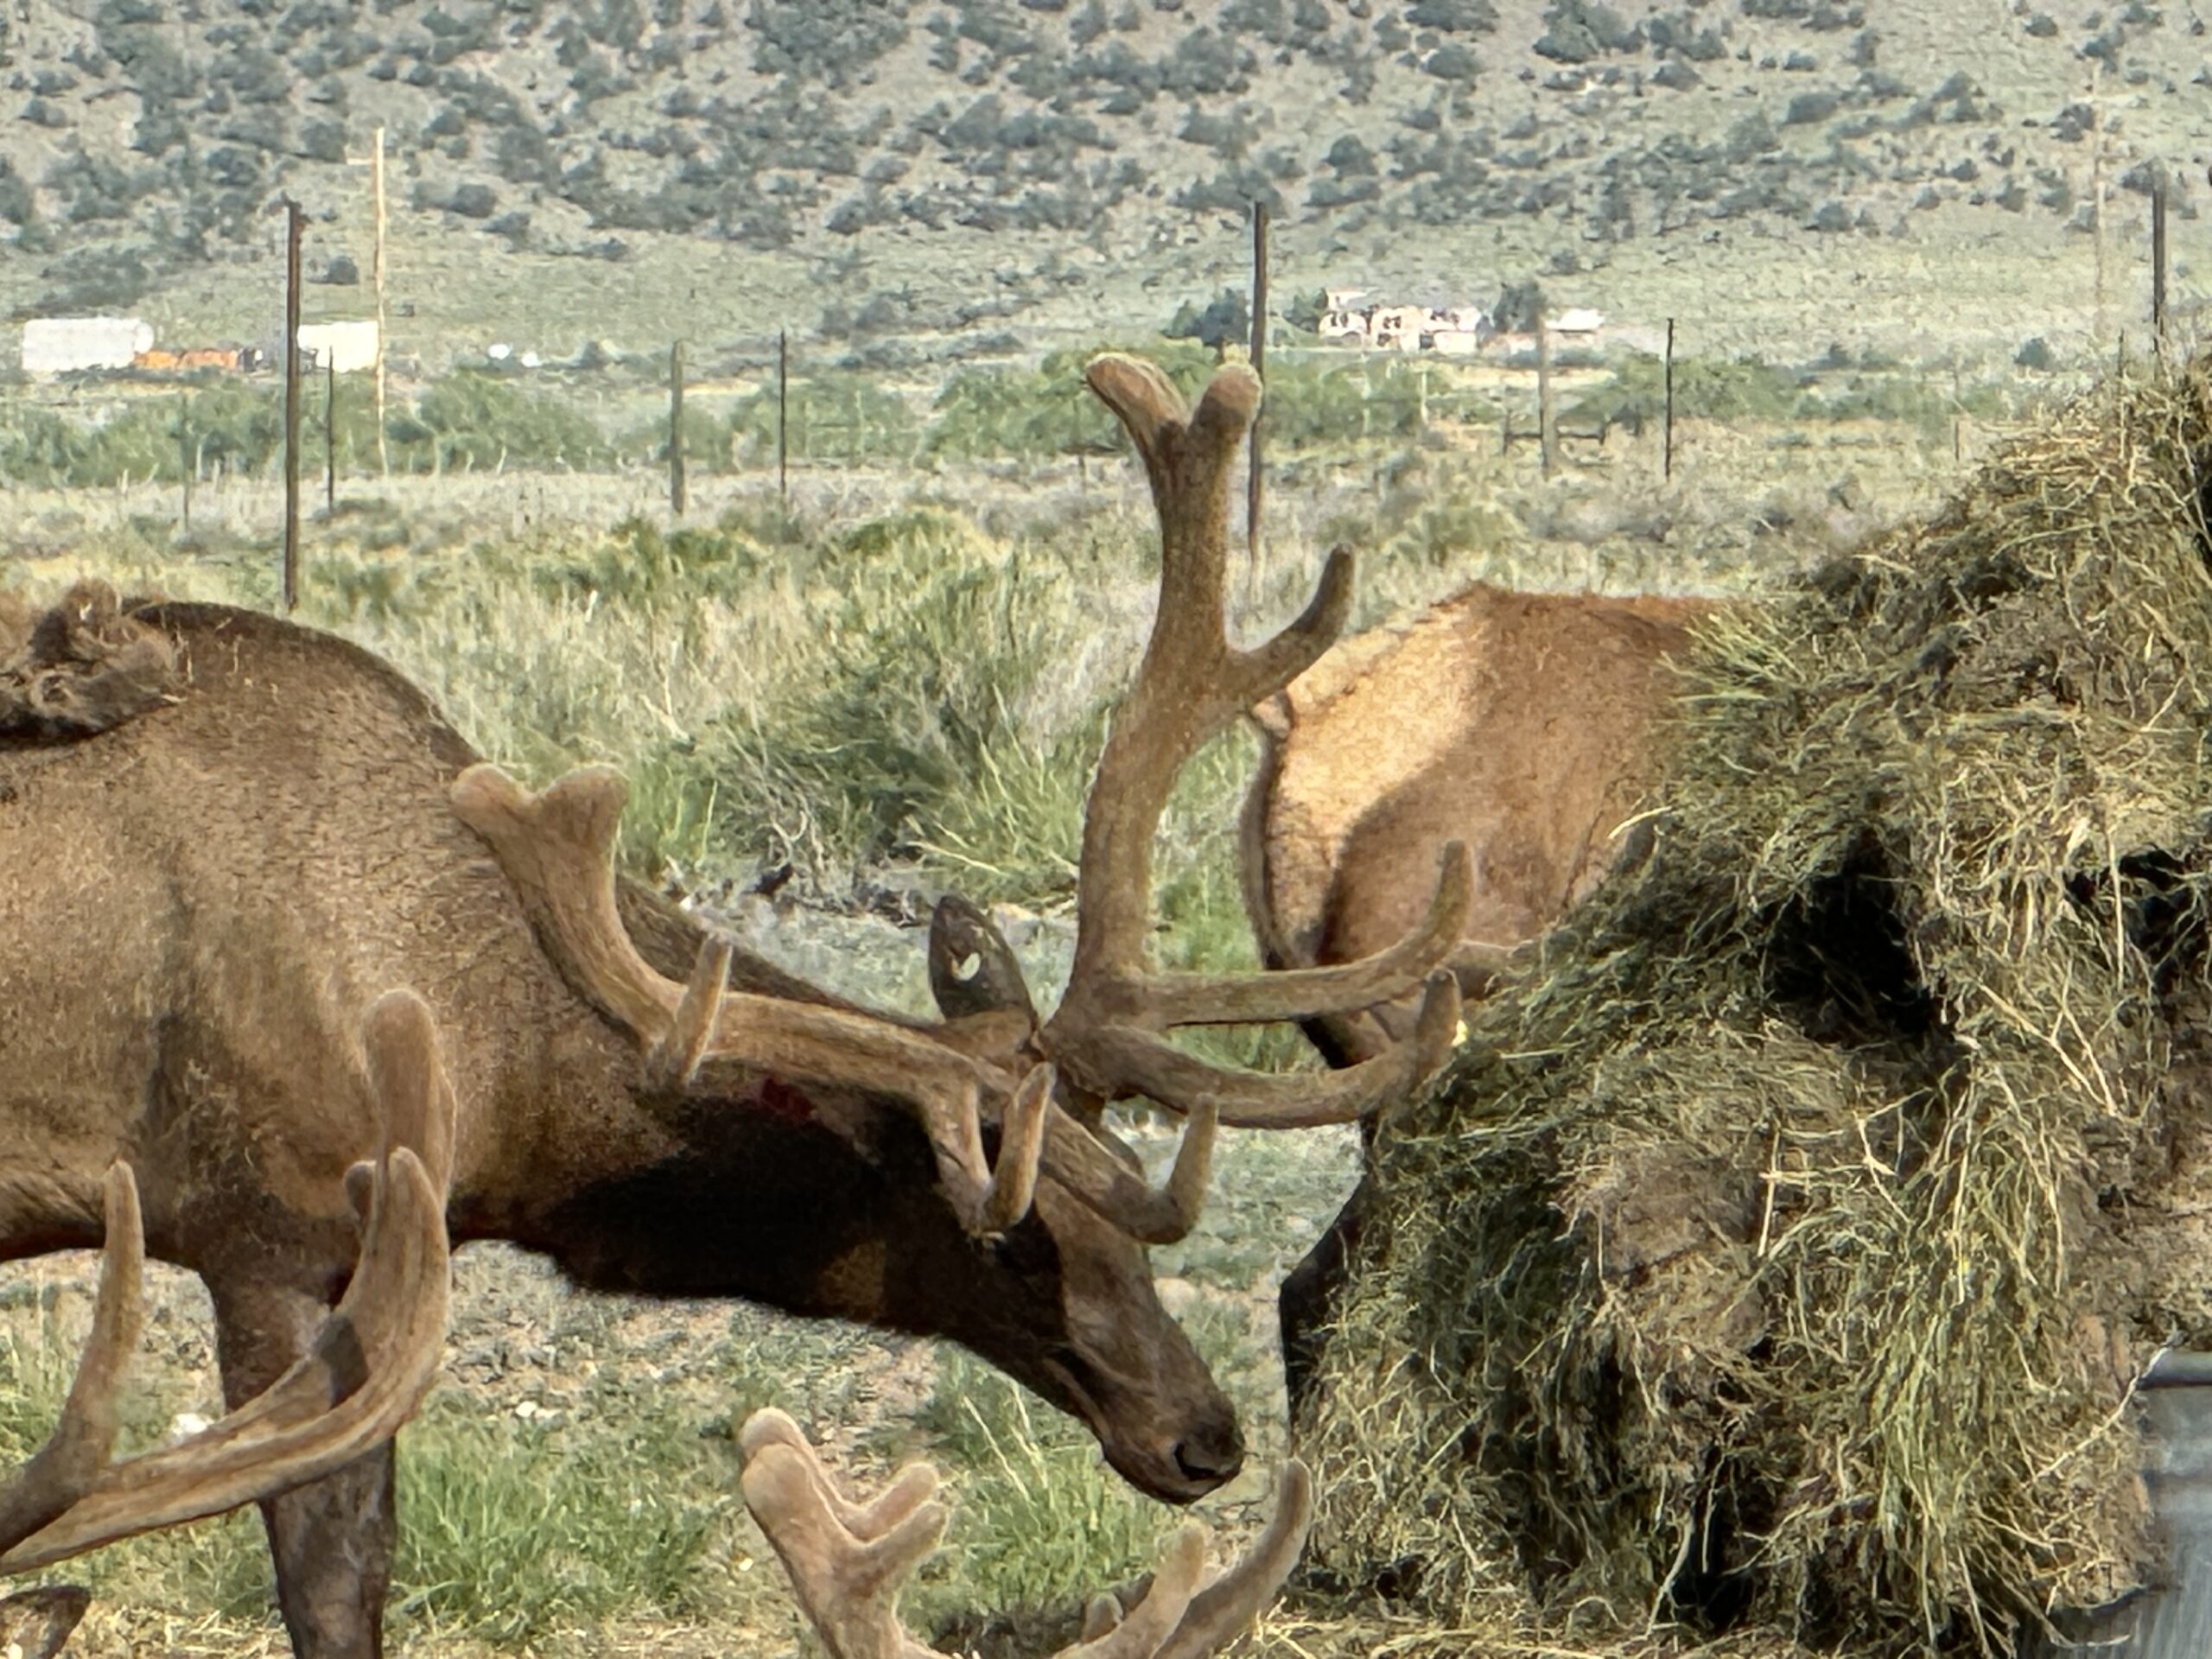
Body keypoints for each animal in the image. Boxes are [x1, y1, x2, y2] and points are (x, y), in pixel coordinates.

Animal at [0, 358, 1468, 1654]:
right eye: (1003, 1237)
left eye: (1133, 1211)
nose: (1204, 1434)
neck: (502, 1076)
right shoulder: (270, 1233)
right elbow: (332, 1579)